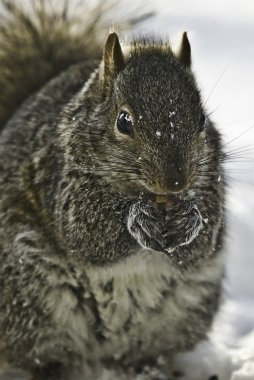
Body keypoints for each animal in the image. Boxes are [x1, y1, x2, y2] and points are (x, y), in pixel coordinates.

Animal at [0, 0, 225, 380]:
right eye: (123, 121)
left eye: (202, 121)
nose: (175, 182)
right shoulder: (59, 177)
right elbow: (86, 232)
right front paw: (136, 219)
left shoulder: (213, 179)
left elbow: (201, 242)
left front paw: (192, 220)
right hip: (29, 298)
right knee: (43, 354)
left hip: (183, 311)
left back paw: (151, 370)